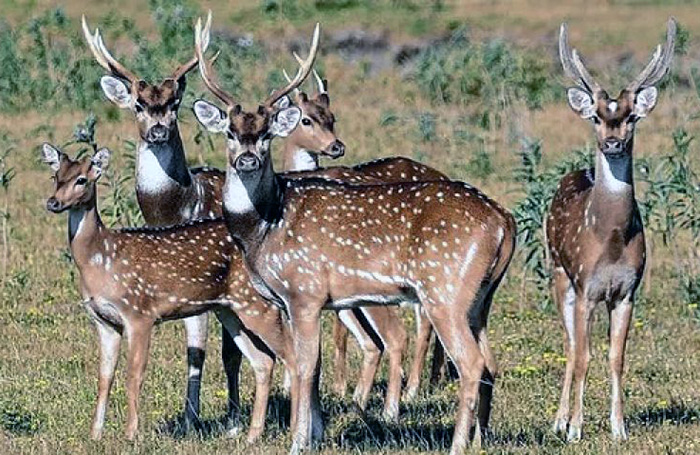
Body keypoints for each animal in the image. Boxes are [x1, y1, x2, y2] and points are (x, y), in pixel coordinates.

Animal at [41, 142, 303, 442]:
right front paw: (94, 435)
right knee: (264, 361)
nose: (53, 203)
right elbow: (104, 377)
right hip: (230, 310)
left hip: (257, 304)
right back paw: (251, 435)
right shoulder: (103, 321)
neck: (101, 258)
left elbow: (134, 375)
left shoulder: (139, 313)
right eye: (55, 177)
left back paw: (294, 431)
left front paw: (131, 434)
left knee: (292, 358)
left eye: (82, 179)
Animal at [191, 16, 516, 454]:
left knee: (471, 362)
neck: (264, 227)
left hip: (445, 290)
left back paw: (457, 444)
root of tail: (503, 221)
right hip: (481, 298)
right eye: (229, 132)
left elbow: (304, 365)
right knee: (490, 361)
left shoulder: (305, 291)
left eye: (266, 134)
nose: (247, 159)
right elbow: (311, 365)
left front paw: (298, 441)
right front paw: (314, 433)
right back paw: (480, 438)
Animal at [547, 19, 675, 441]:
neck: (612, 241)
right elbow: (584, 356)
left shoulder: (626, 292)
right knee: (569, 346)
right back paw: (558, 421)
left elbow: (616, 357)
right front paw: (575, 428)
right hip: (559, 273)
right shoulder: (587, 288)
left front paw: (619, 428)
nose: (613, 143)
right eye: (596, 117)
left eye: (632, 116)